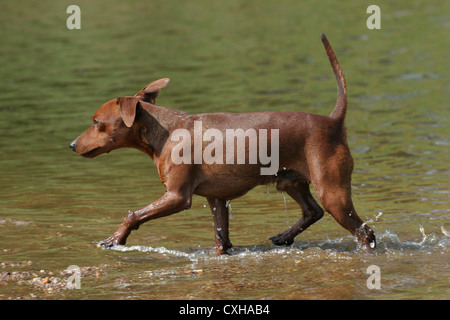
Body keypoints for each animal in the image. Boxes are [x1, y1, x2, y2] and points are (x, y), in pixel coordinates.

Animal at [70, 35, 376, 254]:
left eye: (96, 122)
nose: (72, 145)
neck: (165, 133)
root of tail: (333, 121)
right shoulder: (216, 199)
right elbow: (221, 240)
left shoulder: (177, 196)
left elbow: (133, 214)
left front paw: (115, 238)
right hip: (291, 181)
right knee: (313, 211)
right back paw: (284, 236)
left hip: (332, 191)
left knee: (365, 233)